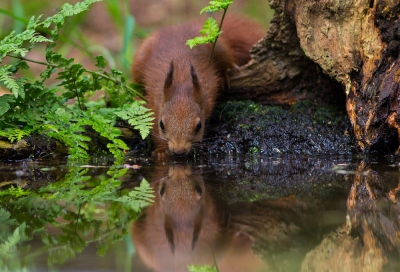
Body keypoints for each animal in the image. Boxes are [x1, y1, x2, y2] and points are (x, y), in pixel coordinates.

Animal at [133, 14, 266, 157]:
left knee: (227, 59)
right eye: (162, 124)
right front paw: (161, 151)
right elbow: (153, 129)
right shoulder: (153, 106)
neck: (182, 83)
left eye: (199, 126)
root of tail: (181, 26)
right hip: (140, 57)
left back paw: (226, 74)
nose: (179, 151)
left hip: (217, 46)